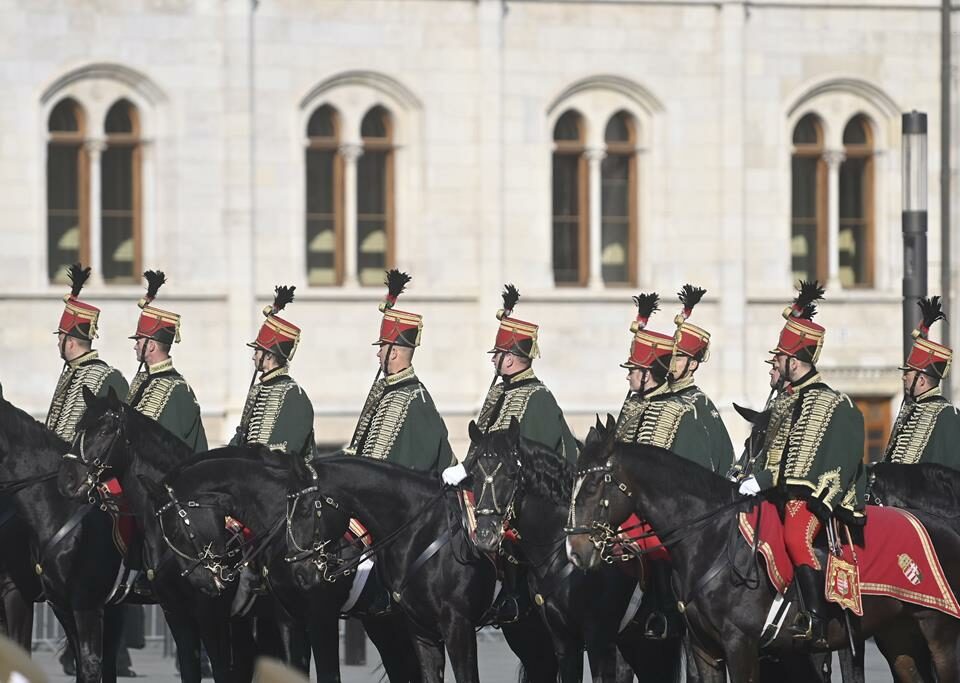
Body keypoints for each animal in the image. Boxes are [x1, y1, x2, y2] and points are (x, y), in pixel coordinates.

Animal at [134, 454, 420, 683]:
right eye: (167, 532)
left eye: (174, 530)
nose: (206, 584)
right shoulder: (284, 618)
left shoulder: (320, 616)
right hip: (382, 621)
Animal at [568, 416, 960, 683]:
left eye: (594, 484)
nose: (575, 550)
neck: (711, 539)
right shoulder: (704, 649)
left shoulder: (741, 645)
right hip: (898, 635)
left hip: (940, 633)